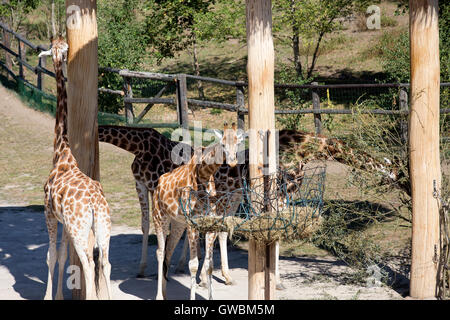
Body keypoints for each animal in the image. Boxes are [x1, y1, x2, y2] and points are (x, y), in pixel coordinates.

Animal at [40, 37, 112, 300]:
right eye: (60, 48)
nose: (61, 54)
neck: (61, 153)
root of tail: (94, 203)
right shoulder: (64, 221)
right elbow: (62, 255)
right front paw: (59, 296)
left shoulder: (49, 213)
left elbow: (51, 256)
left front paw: (49, 297)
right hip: (101, 225)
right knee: (104, 262)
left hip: (80, 228)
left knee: (89, 263)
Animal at [151, 123, 244, 300]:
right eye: (223, 144)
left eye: (238, 143)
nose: (232, 162)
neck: (204, 175)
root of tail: (158, 185)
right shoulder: (193, 224)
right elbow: (193, 265)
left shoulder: (210, 224)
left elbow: (209, 265)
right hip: (159, 217)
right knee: (159, 252)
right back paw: (159, 296)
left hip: (178, 223)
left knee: (168, 250)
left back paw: (165, 293)